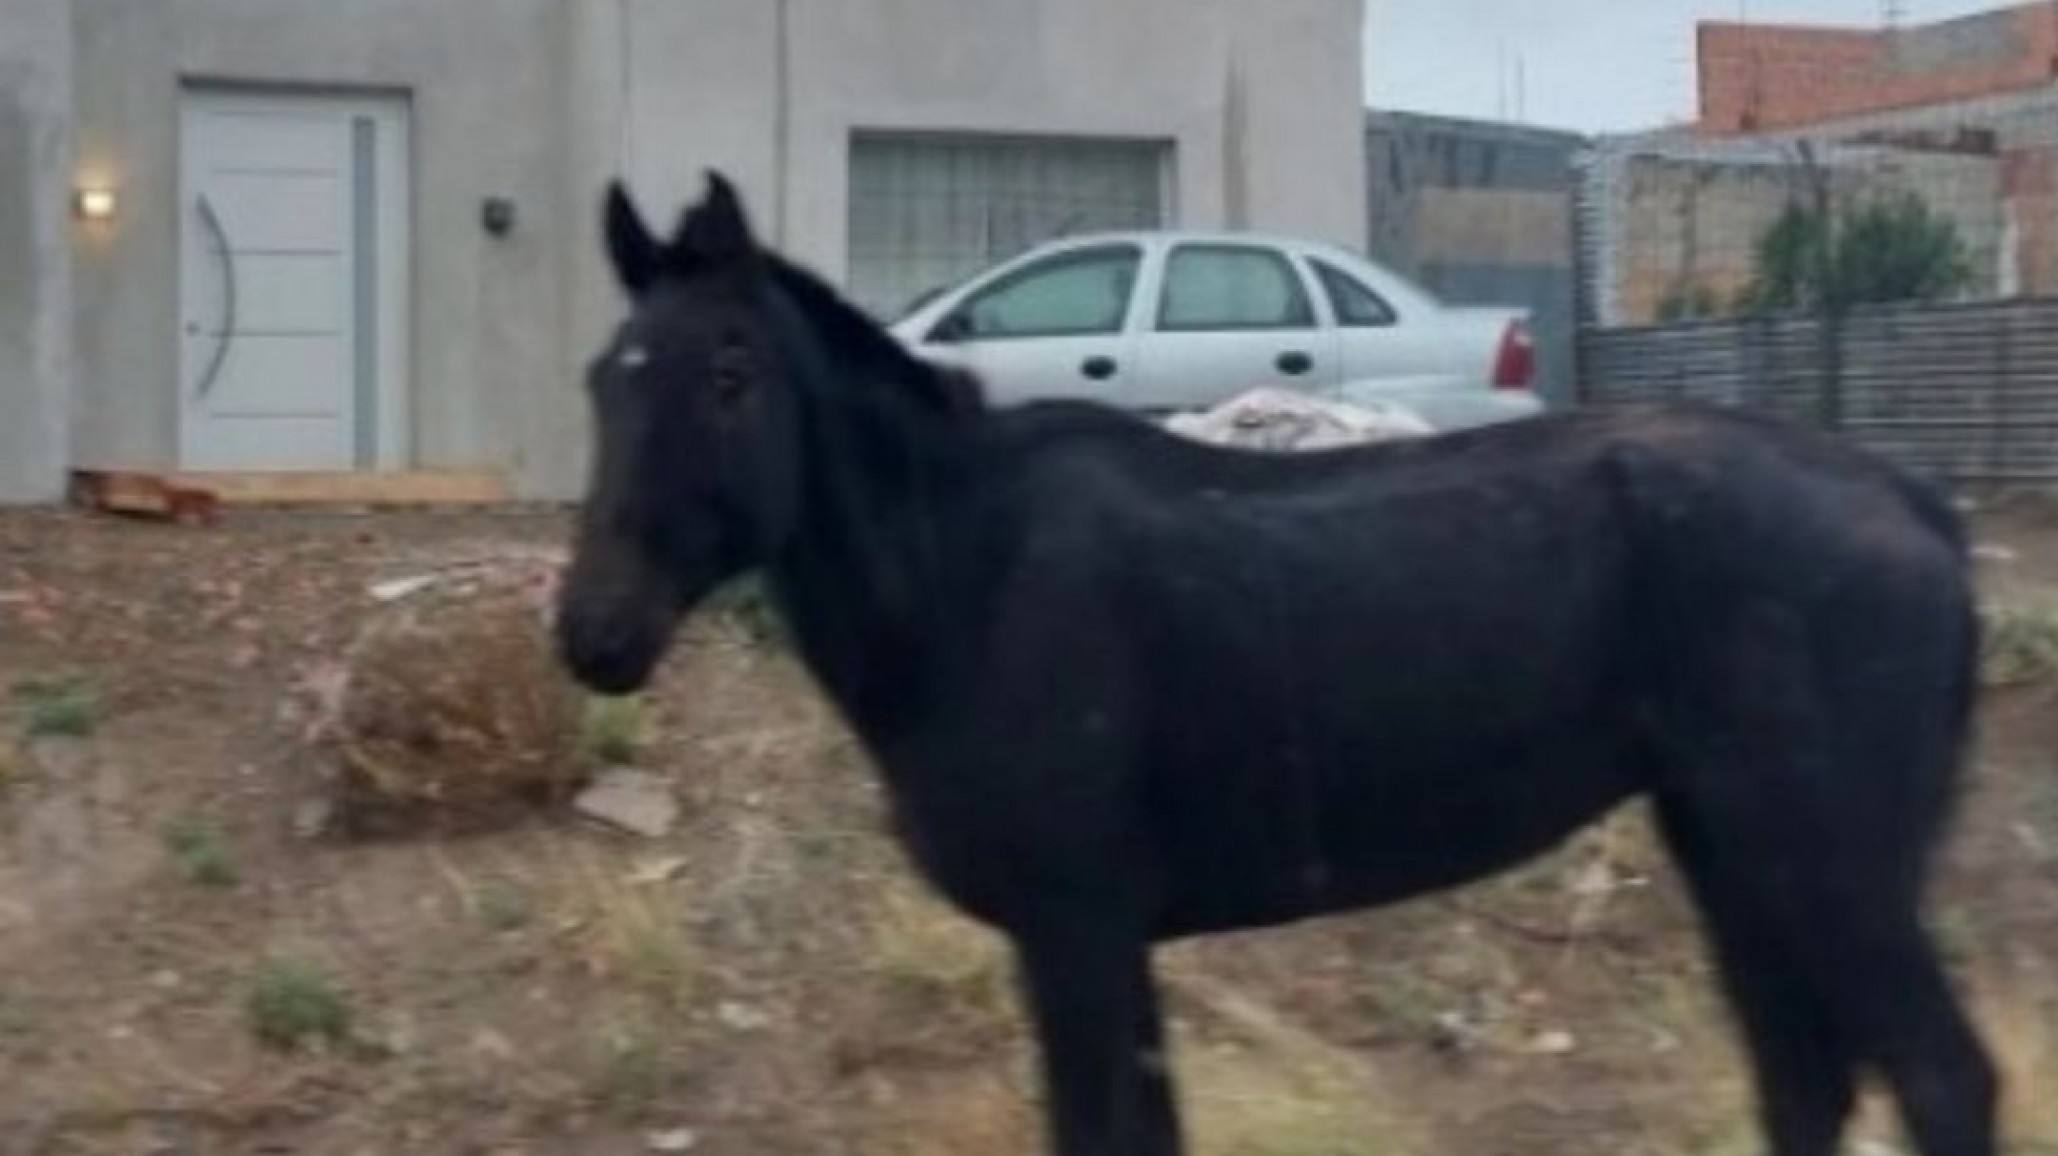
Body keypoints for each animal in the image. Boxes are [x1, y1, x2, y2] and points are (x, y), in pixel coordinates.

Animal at [555, 173, 1996, 1156]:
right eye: (604, 379)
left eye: (730, 372)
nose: (594, 631)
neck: (967, 574)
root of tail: (1917, 510)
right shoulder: (1102, 944)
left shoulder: (1078, 929)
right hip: (1734, 847)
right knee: (1804, 1080)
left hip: (1832, 864)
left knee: (1941, 1081)